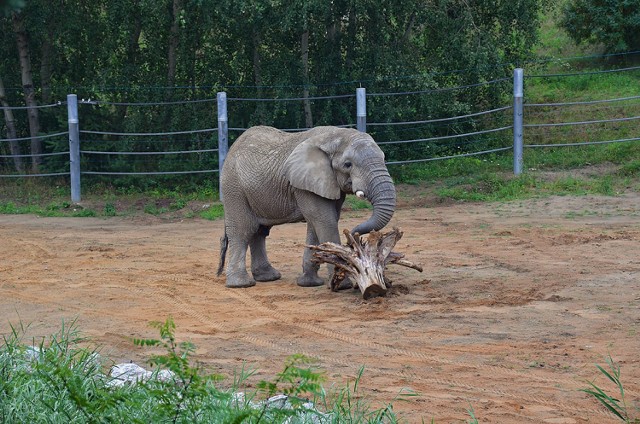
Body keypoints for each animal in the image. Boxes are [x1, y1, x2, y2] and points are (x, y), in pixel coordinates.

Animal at [215, 125, 396, 288]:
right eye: (347, 164)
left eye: (384, 158)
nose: (352, 235)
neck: (334, 135)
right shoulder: (303, 184)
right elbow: (325, 221)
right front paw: (343, 285)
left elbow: (317, 223)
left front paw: (309, 283)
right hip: (233, 187)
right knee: (243, 229)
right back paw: (241, 284)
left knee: (259, 231)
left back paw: (268, 277)